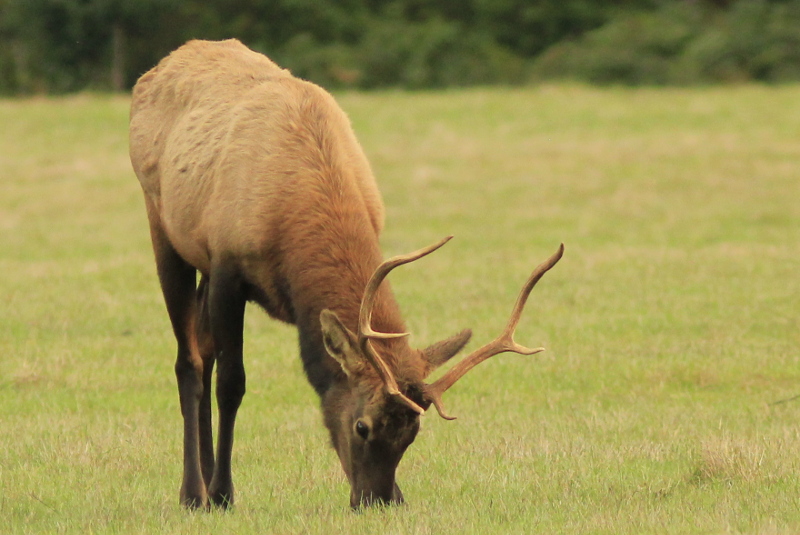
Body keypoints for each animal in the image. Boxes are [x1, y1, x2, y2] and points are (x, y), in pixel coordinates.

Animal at [128, 38, 564, 510]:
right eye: (362, 426)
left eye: (413, 433)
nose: (379, 499)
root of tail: (158, 68)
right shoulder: (227, 265)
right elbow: (232, 382)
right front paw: (225, 494)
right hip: (163, 228)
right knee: (189, 361)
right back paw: (195, 492)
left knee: (202, 348)